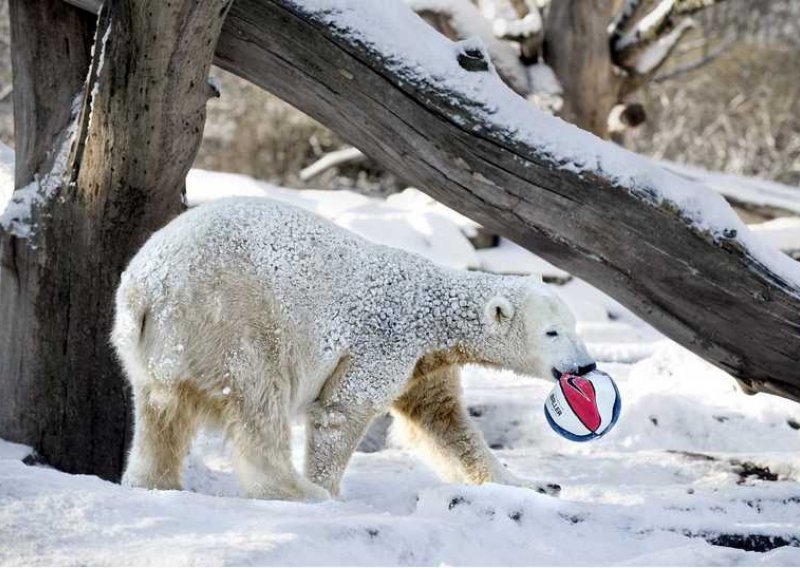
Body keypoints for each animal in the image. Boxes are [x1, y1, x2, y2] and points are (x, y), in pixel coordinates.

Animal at [111, 197, 592, 500]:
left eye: (574, 325)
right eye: (552, 333)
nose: (585, 366)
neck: (431, 308)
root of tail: (145, 288)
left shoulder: (423, 362)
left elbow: (444, 421)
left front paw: (535, 484)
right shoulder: (385, 339)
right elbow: (343, 408)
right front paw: (328, 485)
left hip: (161, 344)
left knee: (160, 414)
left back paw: (153, 483)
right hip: (231, 318)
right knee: (258, 401)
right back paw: (301, 492)